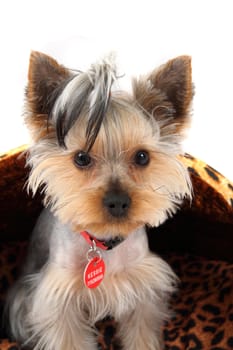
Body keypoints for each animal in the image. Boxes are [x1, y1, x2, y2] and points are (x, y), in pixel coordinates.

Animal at [6, 50, 193, 350]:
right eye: (81, 158)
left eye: (142, 156)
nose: (117, 202)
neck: (104, 243)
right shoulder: (59, 302)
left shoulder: (143, 288)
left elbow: (142, 332)